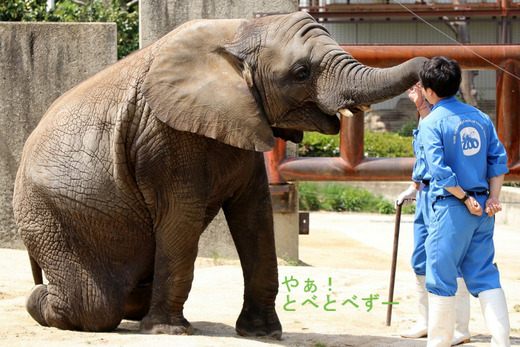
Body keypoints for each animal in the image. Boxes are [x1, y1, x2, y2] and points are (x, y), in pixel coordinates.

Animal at [13, 11, 426, 340]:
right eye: (301, 73)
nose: (433, 67)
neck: (239, 33)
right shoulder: (163, 136)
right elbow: (182, 217)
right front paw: (170, 332)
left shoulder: (244, 123)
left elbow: (255, 217)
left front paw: (264, 333)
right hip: (49, 215)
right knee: (94, 305)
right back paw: (39, 300)